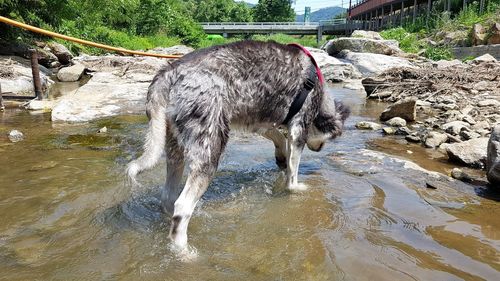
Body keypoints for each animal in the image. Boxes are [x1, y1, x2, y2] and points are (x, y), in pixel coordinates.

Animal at [127, 40, 350, 253]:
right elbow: (293, 173)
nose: (319, 149)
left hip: (175, 148)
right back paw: (184, 252)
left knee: (169, 198)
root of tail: (168, 72)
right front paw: (297, 186)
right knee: (182, 207)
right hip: (209, 148)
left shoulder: (259, 123)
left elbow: (278, 138)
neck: (319, 91)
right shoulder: (298, 128)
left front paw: (281, 158)